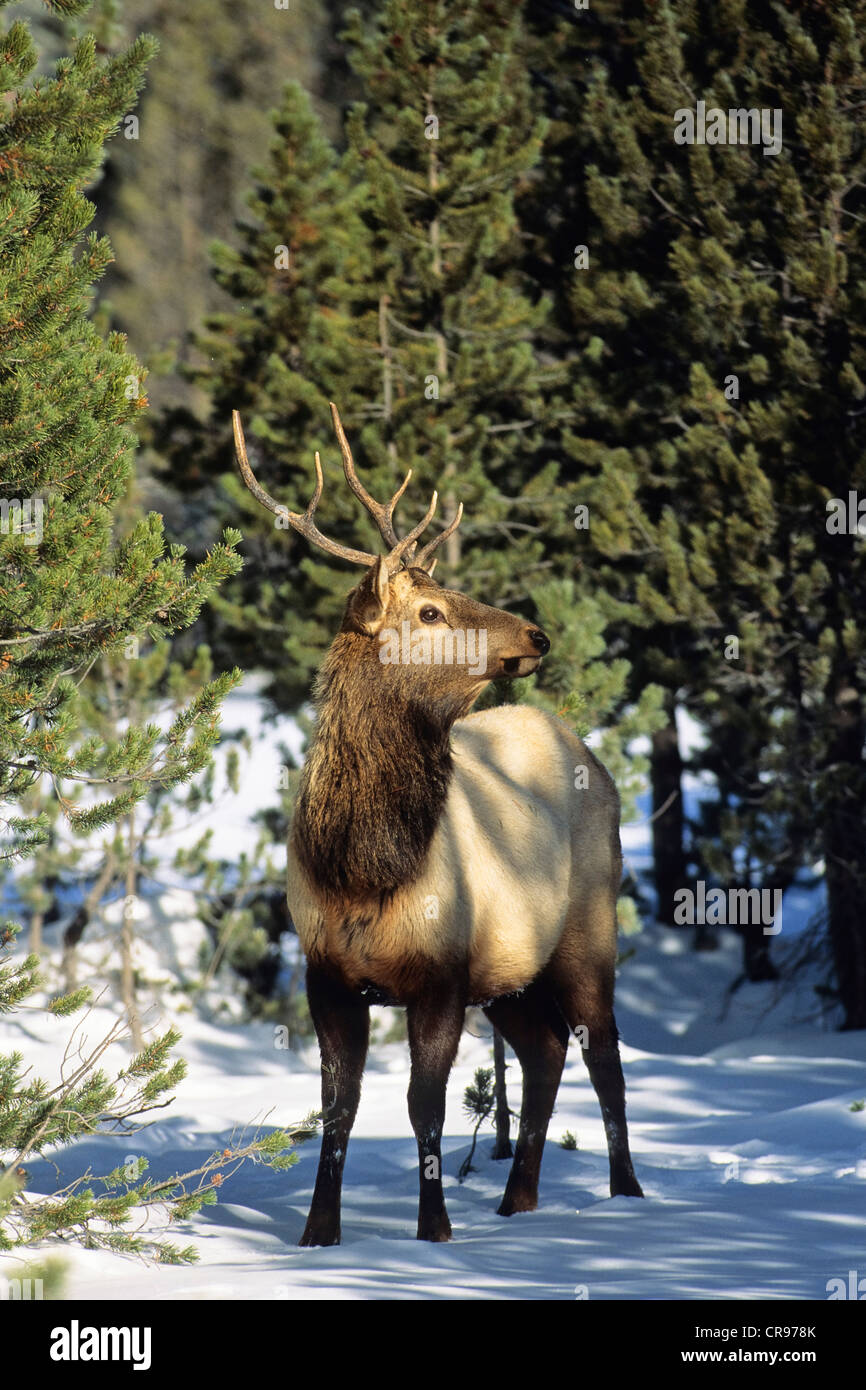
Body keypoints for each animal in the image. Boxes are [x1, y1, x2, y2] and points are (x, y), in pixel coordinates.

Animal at [232, 405, 644, 1251]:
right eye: (429, 611)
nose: (536, 635)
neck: (363, 867)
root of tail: (586, 749)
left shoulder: (443, 970)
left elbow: (424, 1106)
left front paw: (435, 1231)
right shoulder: (326, 973)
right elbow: (339, 1108)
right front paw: (318, 1233)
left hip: (588, 928)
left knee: (605, 1057)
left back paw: (626, 1197)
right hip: (513, 966)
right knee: (546, 1048)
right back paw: (518, 1200)